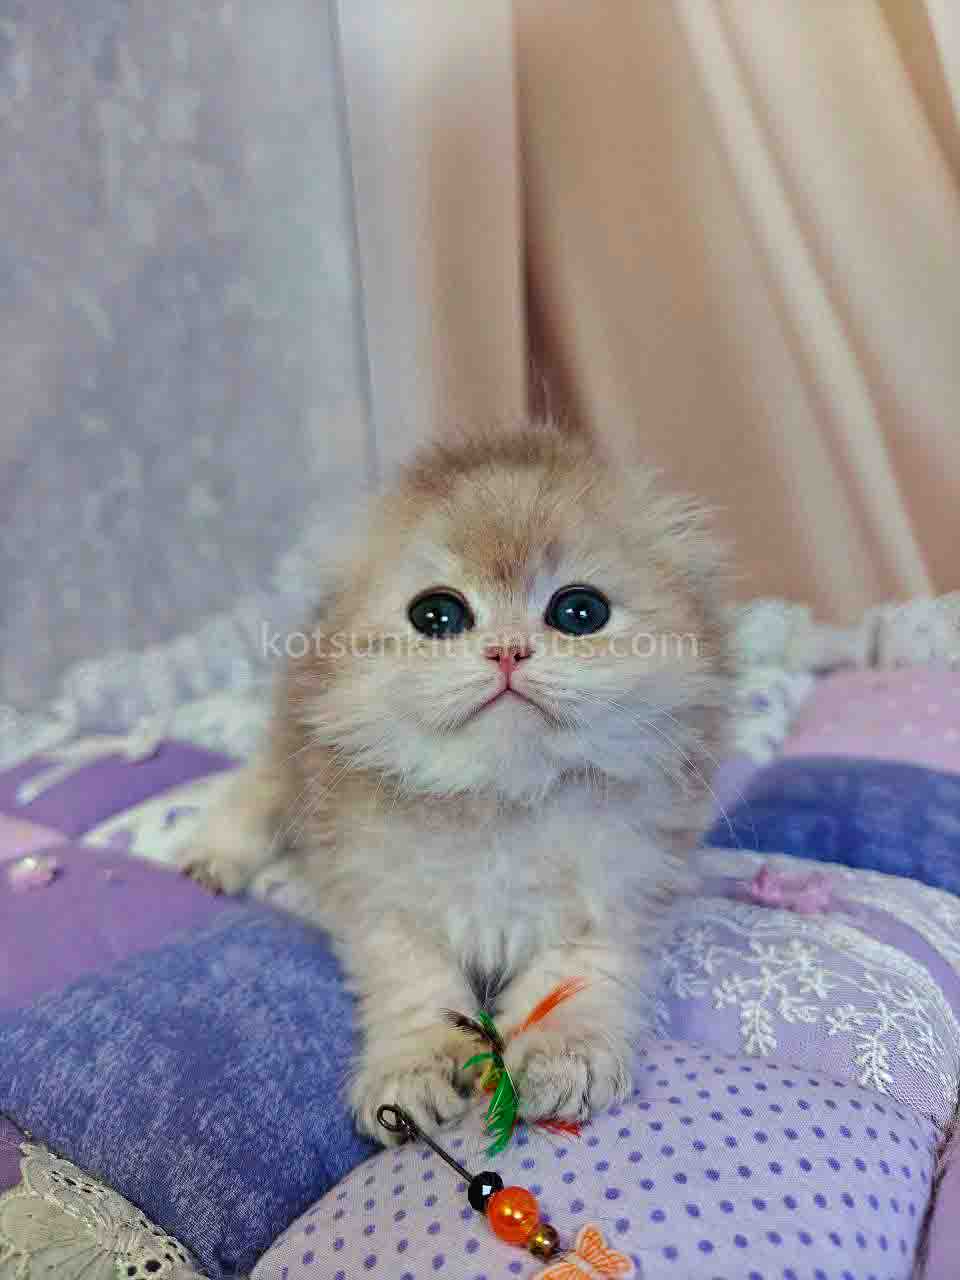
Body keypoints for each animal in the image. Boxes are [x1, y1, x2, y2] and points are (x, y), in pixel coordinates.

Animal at [180, 425, 733, 1140]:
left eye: (580, 611)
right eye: (437, 615)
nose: (507, 652)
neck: (502, 801)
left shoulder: (618, 893)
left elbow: (575, 975)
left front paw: (564, 1053)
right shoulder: (379, 900)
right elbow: (414, 986)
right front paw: (415, 1069)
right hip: (286, 749)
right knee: (255, 790)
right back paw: (213, 858)